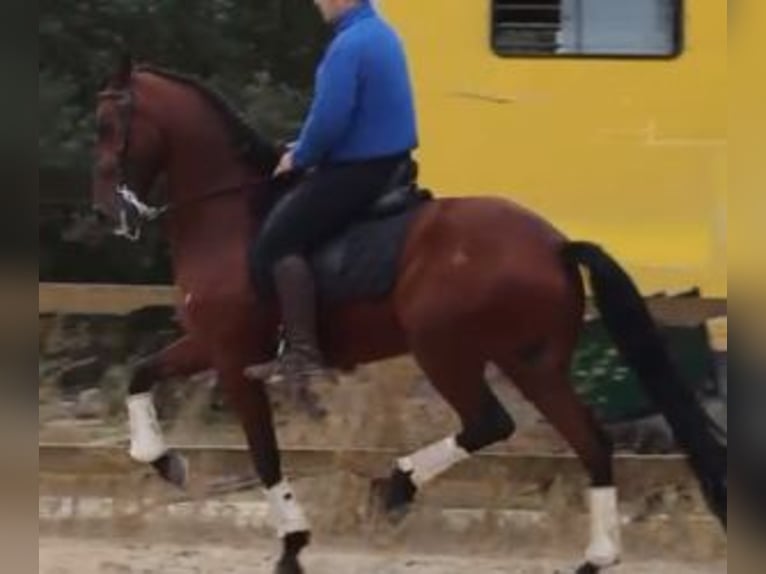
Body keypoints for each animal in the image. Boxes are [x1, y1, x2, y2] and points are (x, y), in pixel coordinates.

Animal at [90, 57, 728, 574]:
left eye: (107, 127)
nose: (105, 215)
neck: (228, 214)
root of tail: (555, 245)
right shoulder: (208, 344)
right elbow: (140, 375)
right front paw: (162, 461)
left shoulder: (233, 358)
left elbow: (264, 453)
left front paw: (292, 545)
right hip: (532, 363)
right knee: (591, 442)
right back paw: (595, 557)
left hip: (444, 349)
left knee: (492, 422)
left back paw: (395, 487)